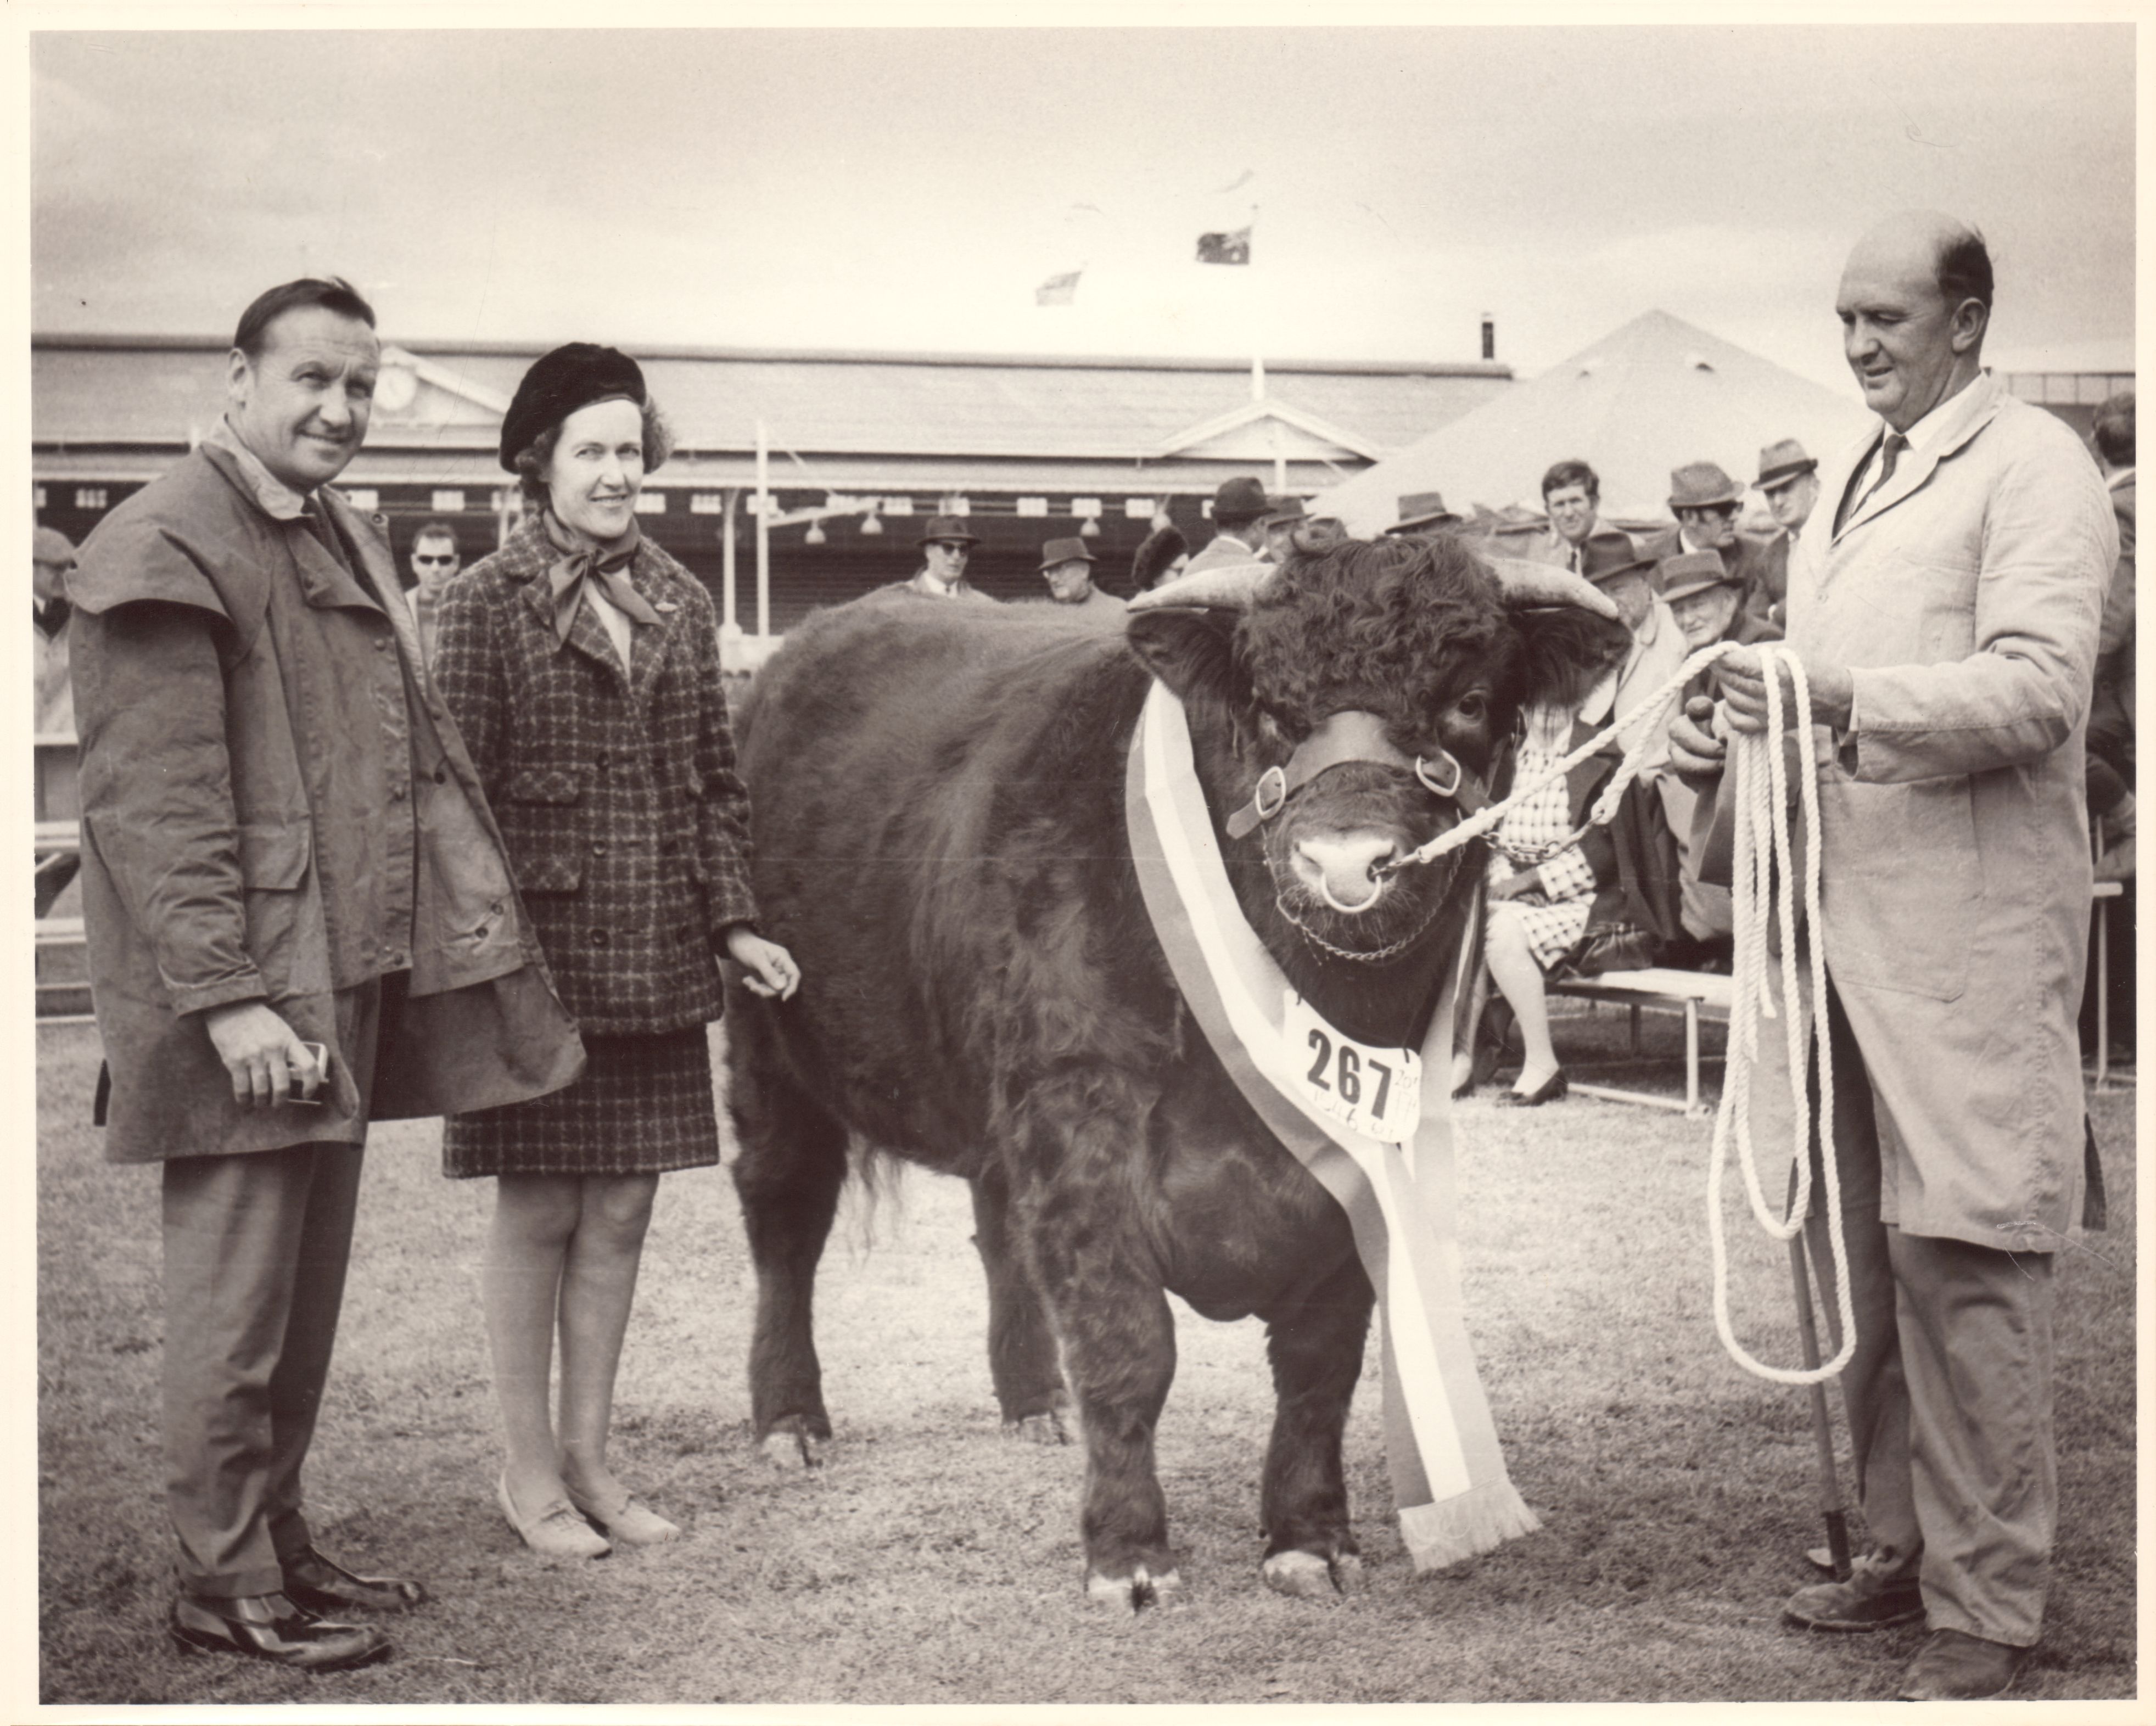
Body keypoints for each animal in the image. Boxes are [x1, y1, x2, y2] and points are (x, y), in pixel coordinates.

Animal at [723, 535, 1629, 1608]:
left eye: (1470, 697)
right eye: (1271, 706)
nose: (1345, 863)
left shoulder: (1363, 1156)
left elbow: (1320, 1362)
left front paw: (1308, 1537)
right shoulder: (1082, 1113)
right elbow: (1128, 1345)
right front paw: (1128, 1553)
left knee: (995, 1228)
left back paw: (1032, 1402)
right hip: (769, 1042)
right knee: (786, 1218)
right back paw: (789, 1421)